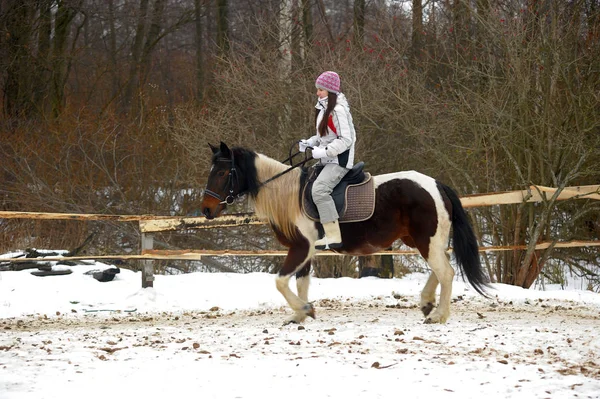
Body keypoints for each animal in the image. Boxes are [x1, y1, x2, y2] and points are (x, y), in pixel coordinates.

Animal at [200, 144, 488, 324]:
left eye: (223, 172)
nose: (206, 209)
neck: (288, 194)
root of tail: (437, 184)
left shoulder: (301, 248)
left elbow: (281, 282)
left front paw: (304, 309)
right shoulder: (306, 251)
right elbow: (301, 282)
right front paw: (300, 315)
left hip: (426, 240)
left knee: (446, 272)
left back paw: (438, 315)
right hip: (420, 240)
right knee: (439, 269)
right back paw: (428, 303)